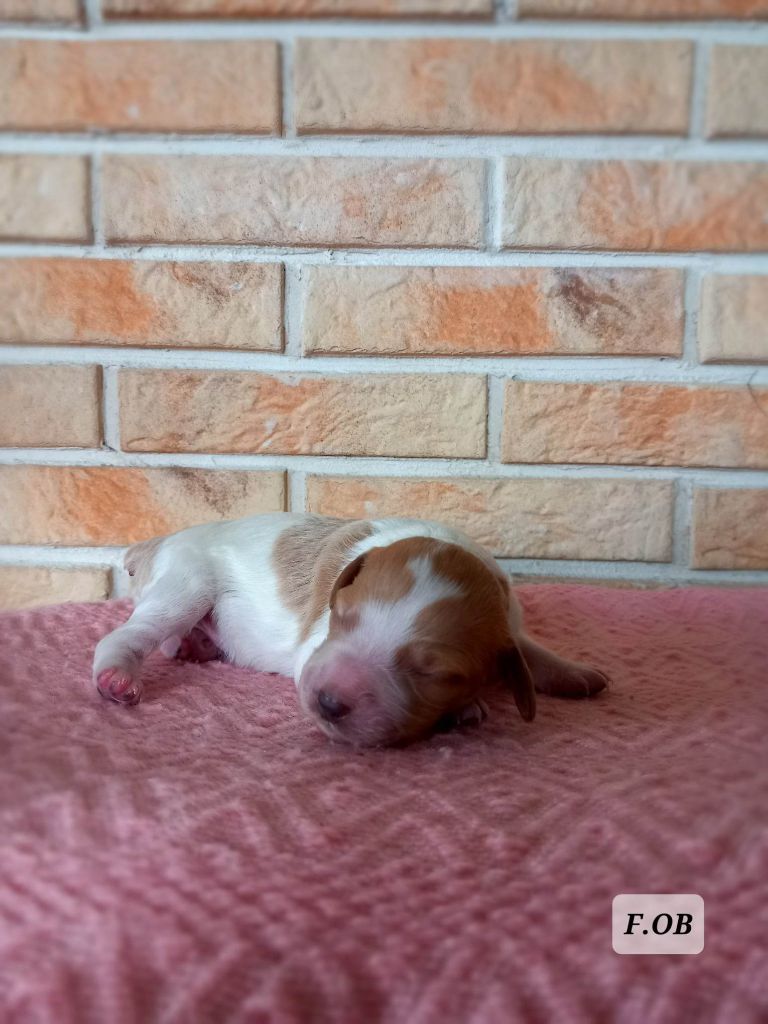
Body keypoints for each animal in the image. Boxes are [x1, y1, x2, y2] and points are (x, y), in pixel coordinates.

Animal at [93, 513, 608, 747]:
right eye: (340, 615)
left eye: (435, 674)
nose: (327, 702)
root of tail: (160, 542)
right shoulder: (314, 649)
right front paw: (467, 709)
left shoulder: (510, 624)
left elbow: (528, 650)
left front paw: (576, 673)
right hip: (186, 584)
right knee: (130, 633)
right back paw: (117, 677)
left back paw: (194, 645)